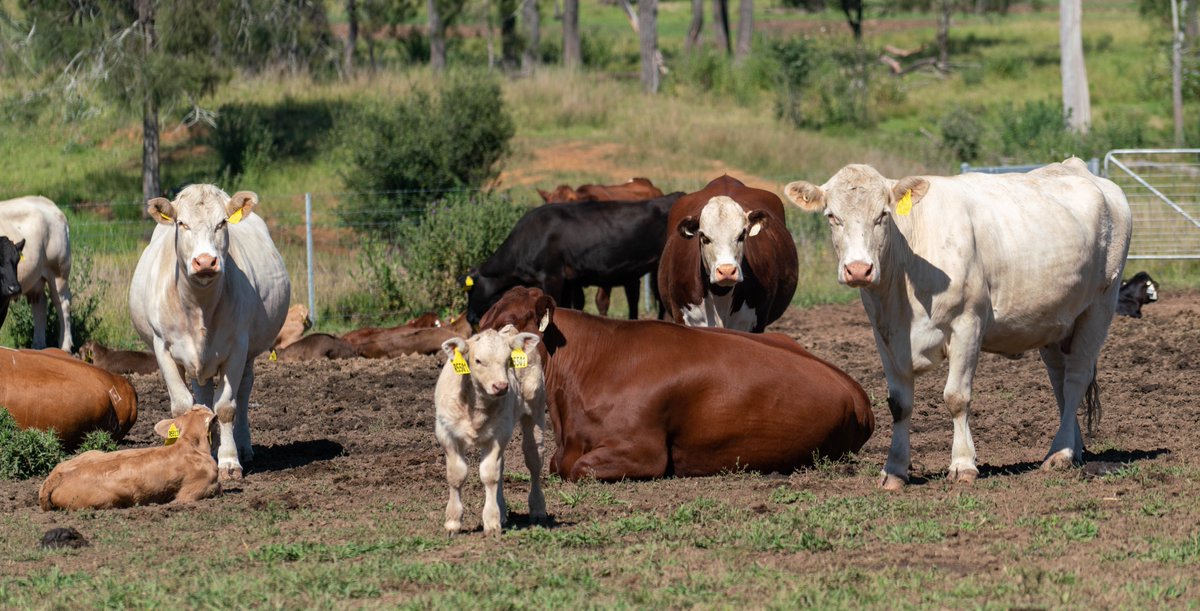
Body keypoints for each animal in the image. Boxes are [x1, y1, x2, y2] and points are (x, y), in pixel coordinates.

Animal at [0, 196, 73, 351]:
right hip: (36, 278)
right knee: (40, 303)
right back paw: (38, 345)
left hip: (58, 272)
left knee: (62, 303)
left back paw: (64, 346)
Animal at [129, 184, 290, 480]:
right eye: (182, 223)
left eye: (222, 223)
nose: (205, 262)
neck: (199, 305)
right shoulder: (163, 347)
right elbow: (183, 406)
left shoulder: (237, 347)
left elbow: (226, 406)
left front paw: (229, 461)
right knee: (202, 397)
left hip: (249, 353)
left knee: (243, 391)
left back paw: (243, 446)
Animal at [435, 328, 545, 535]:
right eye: (478, 360)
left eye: (508, 360)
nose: (501, 386)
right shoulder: (446, 433)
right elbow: (456, 475)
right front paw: (453, 522)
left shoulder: (498, 435)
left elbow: (489, 475)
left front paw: (491, 522)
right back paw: (503, 512)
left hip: (536, 411)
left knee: (534, 461)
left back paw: (538, 510)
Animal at [479, 287, 875, 481]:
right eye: (481, 321)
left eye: (508, 326)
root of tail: (854, 389)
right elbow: (556, 464)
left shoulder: (644, 452)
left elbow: (575, 469)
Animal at [783, 158, 1132, 490]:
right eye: (831, 216)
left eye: (883, 214)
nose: (858, 269)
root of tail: (1078, 168)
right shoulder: (885, 335)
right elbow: (899, 404)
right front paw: (894, 470)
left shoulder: (968, 324)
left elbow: (956, 397)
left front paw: (963, 465)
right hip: (1054, 320)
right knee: (1060, 381)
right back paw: (1072, 448)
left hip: (1099, 306)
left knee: (1076, 379)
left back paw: (1060, 454)